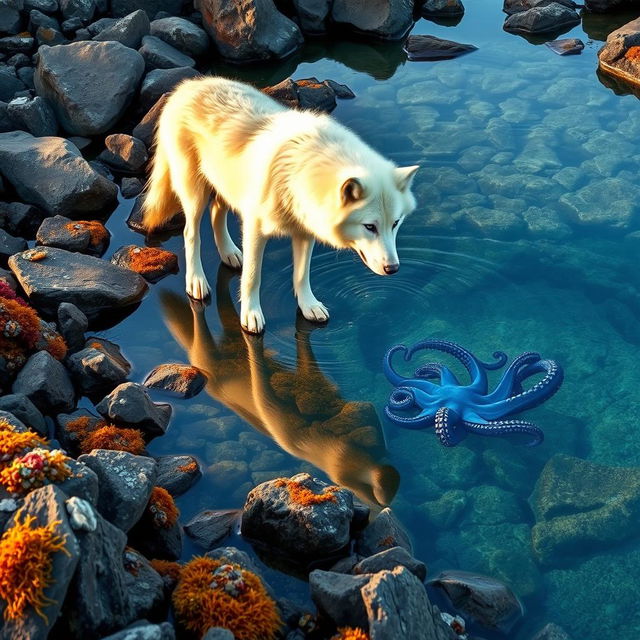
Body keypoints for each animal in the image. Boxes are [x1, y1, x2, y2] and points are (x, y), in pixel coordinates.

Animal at [142, 77, 418, 332]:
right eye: (370, 227)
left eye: (395, 223)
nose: (393, 268)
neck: (304, 173)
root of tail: (188, 85)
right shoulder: (255, 229)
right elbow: (252, 276)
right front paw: (251, 315)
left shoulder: (305, 232)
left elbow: (302, 275)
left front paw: (309, 306)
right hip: (195, 193)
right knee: (191, 233)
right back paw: (196, 282)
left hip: (226, 188)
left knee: (216, 212)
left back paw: (229, 253)